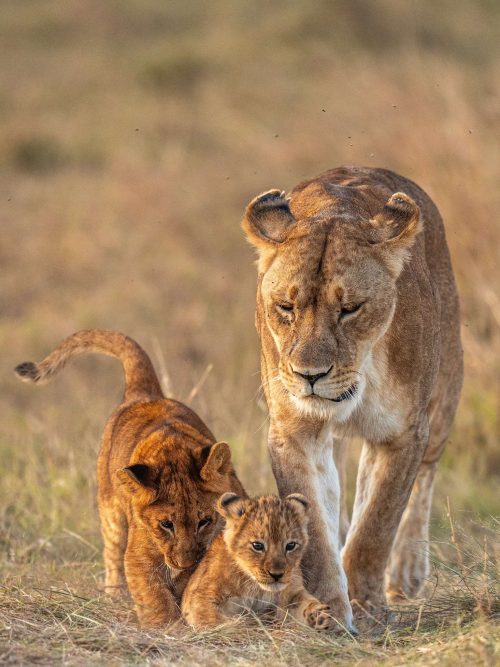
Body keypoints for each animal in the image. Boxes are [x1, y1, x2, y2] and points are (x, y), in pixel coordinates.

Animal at [242, 166, 460, 628]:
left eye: (350, 309)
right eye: (285, 306)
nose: (309, 375)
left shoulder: (403, 433)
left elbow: (376, 526)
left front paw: (368, 608)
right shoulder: (295, 432)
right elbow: (316, 535)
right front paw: (328, 611)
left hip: (446, 390)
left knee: (426, 474)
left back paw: (407, 572)